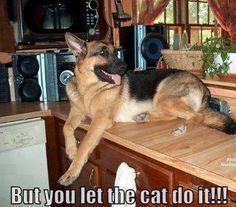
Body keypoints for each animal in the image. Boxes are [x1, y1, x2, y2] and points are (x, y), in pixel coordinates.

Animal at [58, 32, 236, 186]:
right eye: (102, 52)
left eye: (115, 52)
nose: (124, 67)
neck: (88, 89)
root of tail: (203, 86)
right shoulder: (76, 112)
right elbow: (66, 126)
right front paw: (71, 149)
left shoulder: (100, 120)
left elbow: (85, 143)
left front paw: (71, 172)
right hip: (162, 102)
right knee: (177, 115)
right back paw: (145, 117)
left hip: (163, 98)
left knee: (196, 117)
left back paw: (181, 128)